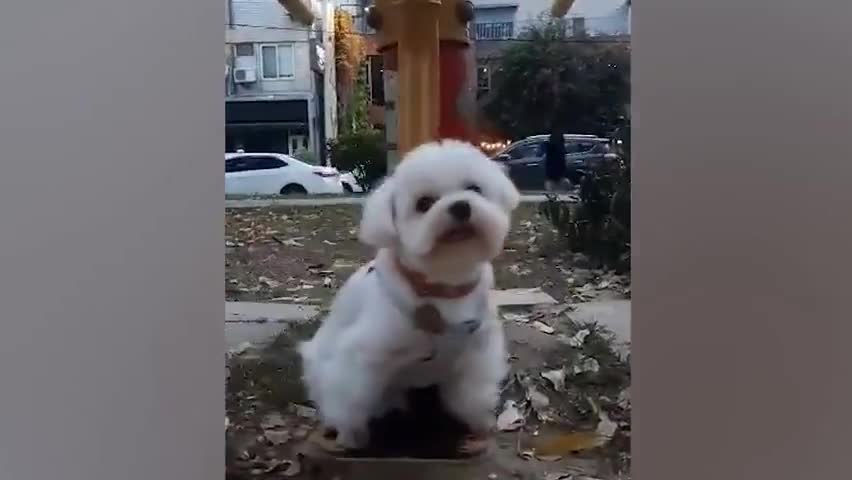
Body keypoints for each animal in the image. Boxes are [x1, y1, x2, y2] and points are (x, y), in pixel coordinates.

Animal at [300, 139, 520, 450]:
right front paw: (351, 434)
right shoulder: (361, 357)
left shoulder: (477, 353)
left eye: (474, 188)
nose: (460, 206)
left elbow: (472, 395)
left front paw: (478, 425)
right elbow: (351, 401)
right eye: (424, 203)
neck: (443, 287)